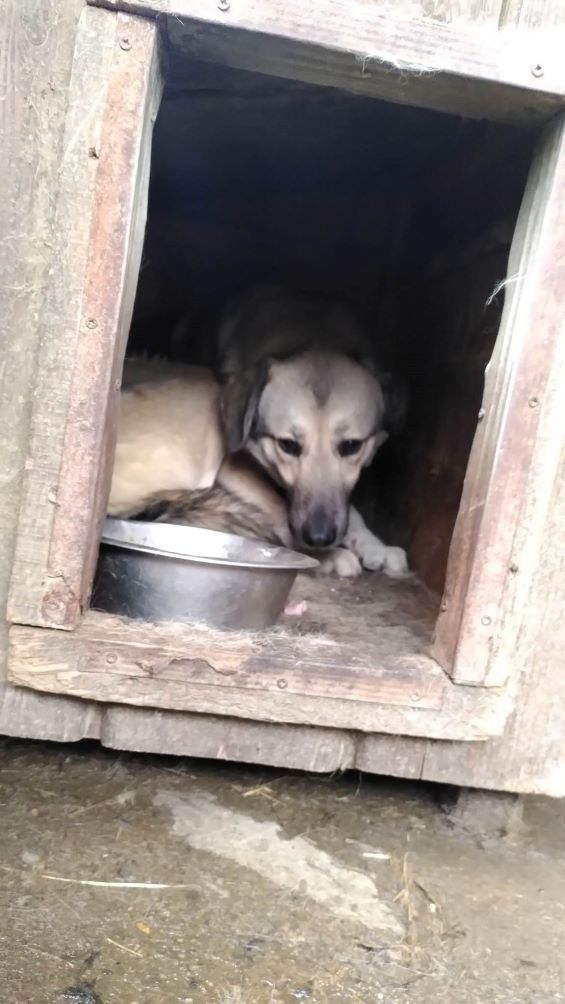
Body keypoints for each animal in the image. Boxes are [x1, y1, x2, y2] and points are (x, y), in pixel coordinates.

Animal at [109, 287, 411, 578]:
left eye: (351, 445)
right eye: (287, 445)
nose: (319, 538)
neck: (312, 332)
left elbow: (350, 511)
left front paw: (374, 544)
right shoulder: (233, 467)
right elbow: (278, 511)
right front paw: (327, 555)